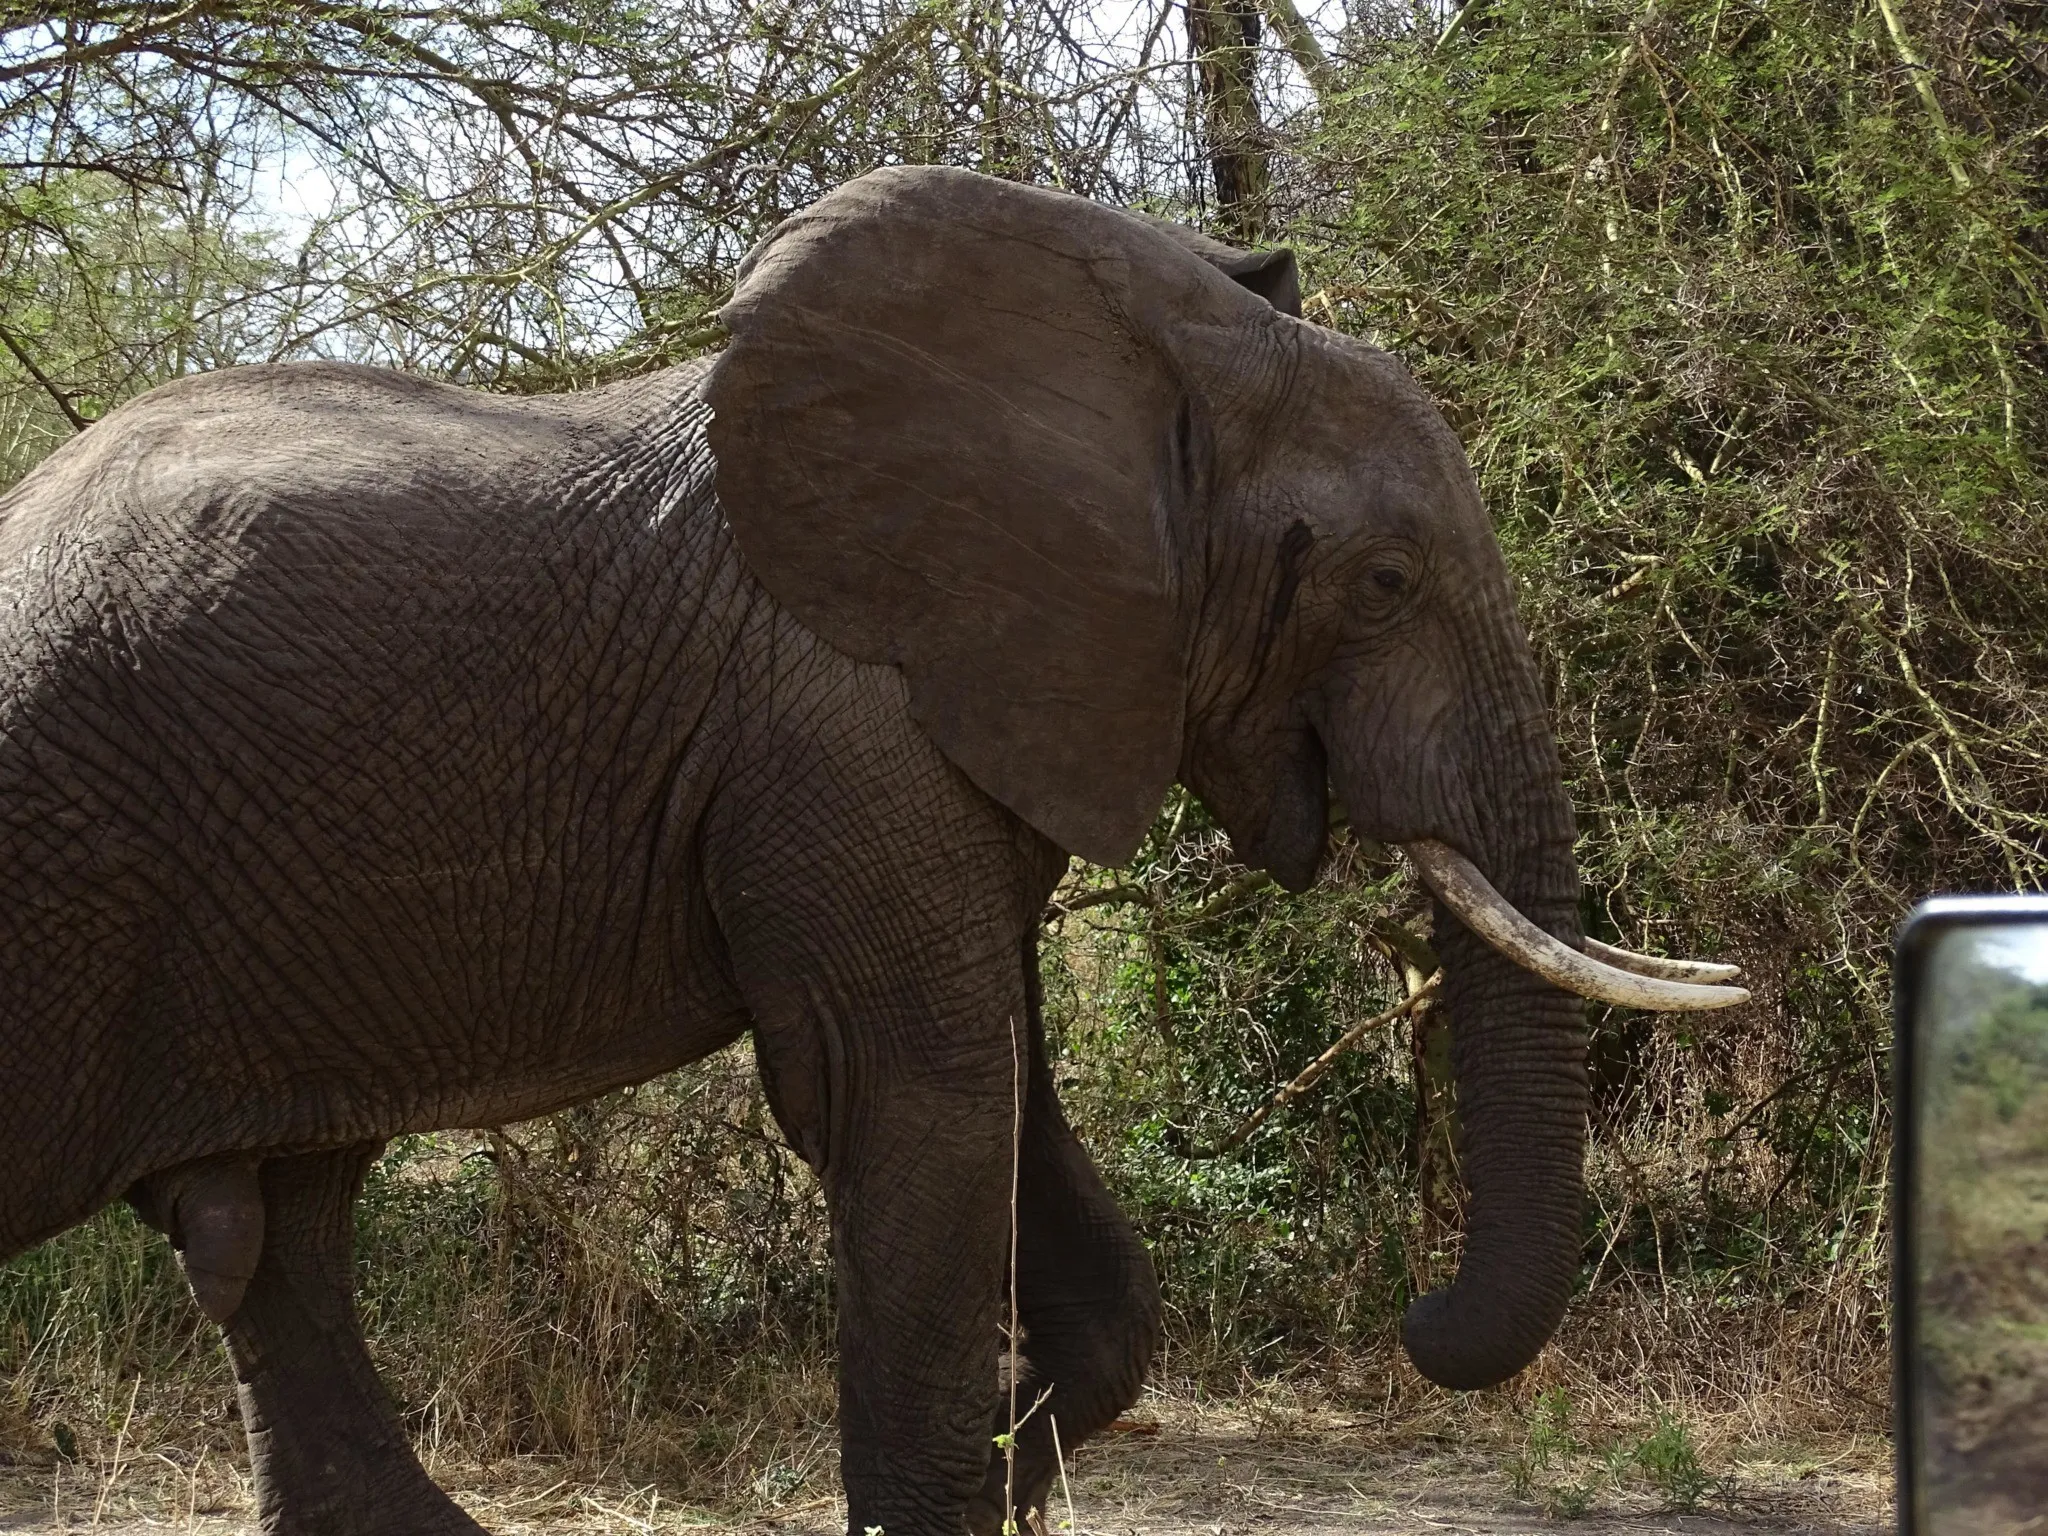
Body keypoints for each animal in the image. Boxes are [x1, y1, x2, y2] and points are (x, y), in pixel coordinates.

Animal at [0, 165, 1744, 1536]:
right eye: (1382, 585)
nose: (1422, 1314)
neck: (1147, 366)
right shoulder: (851, 728)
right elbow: (916, 1092)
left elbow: (1007, 1097)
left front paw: (1020, 1464)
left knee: (286, 1232)